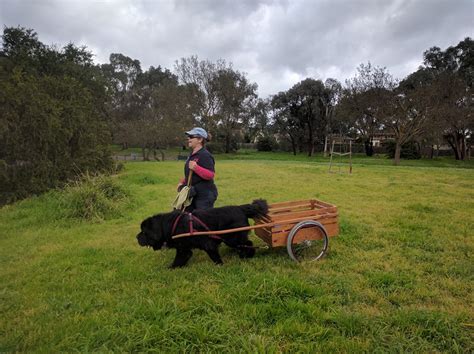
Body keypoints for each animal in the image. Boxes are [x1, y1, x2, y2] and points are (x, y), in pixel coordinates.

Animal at [138, 201, 270, 266]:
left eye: (144, 232)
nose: (137, 237)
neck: (172, 225)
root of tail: (240, 208)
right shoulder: (183, 248)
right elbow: (180, 259)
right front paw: (173, 268)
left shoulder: (207, 244)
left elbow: (214, 256)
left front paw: (220, 265)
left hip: (232, 237)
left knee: (248, 243)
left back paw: (247, 255)